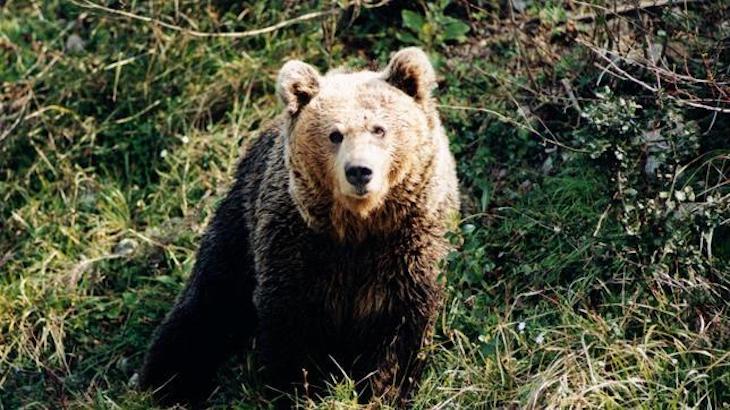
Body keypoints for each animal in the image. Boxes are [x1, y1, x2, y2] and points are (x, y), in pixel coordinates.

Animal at [138, 47, 460, 407]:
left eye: (379, 129)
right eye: (335, 134)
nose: (359, 171)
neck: (358, 226)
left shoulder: (407, 244)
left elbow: (399, 326)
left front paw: (382, 391)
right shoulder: (297, 243)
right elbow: (290, 321)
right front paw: (301, 390)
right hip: (241, 220)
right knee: (210, 298)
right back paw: (167, 382)